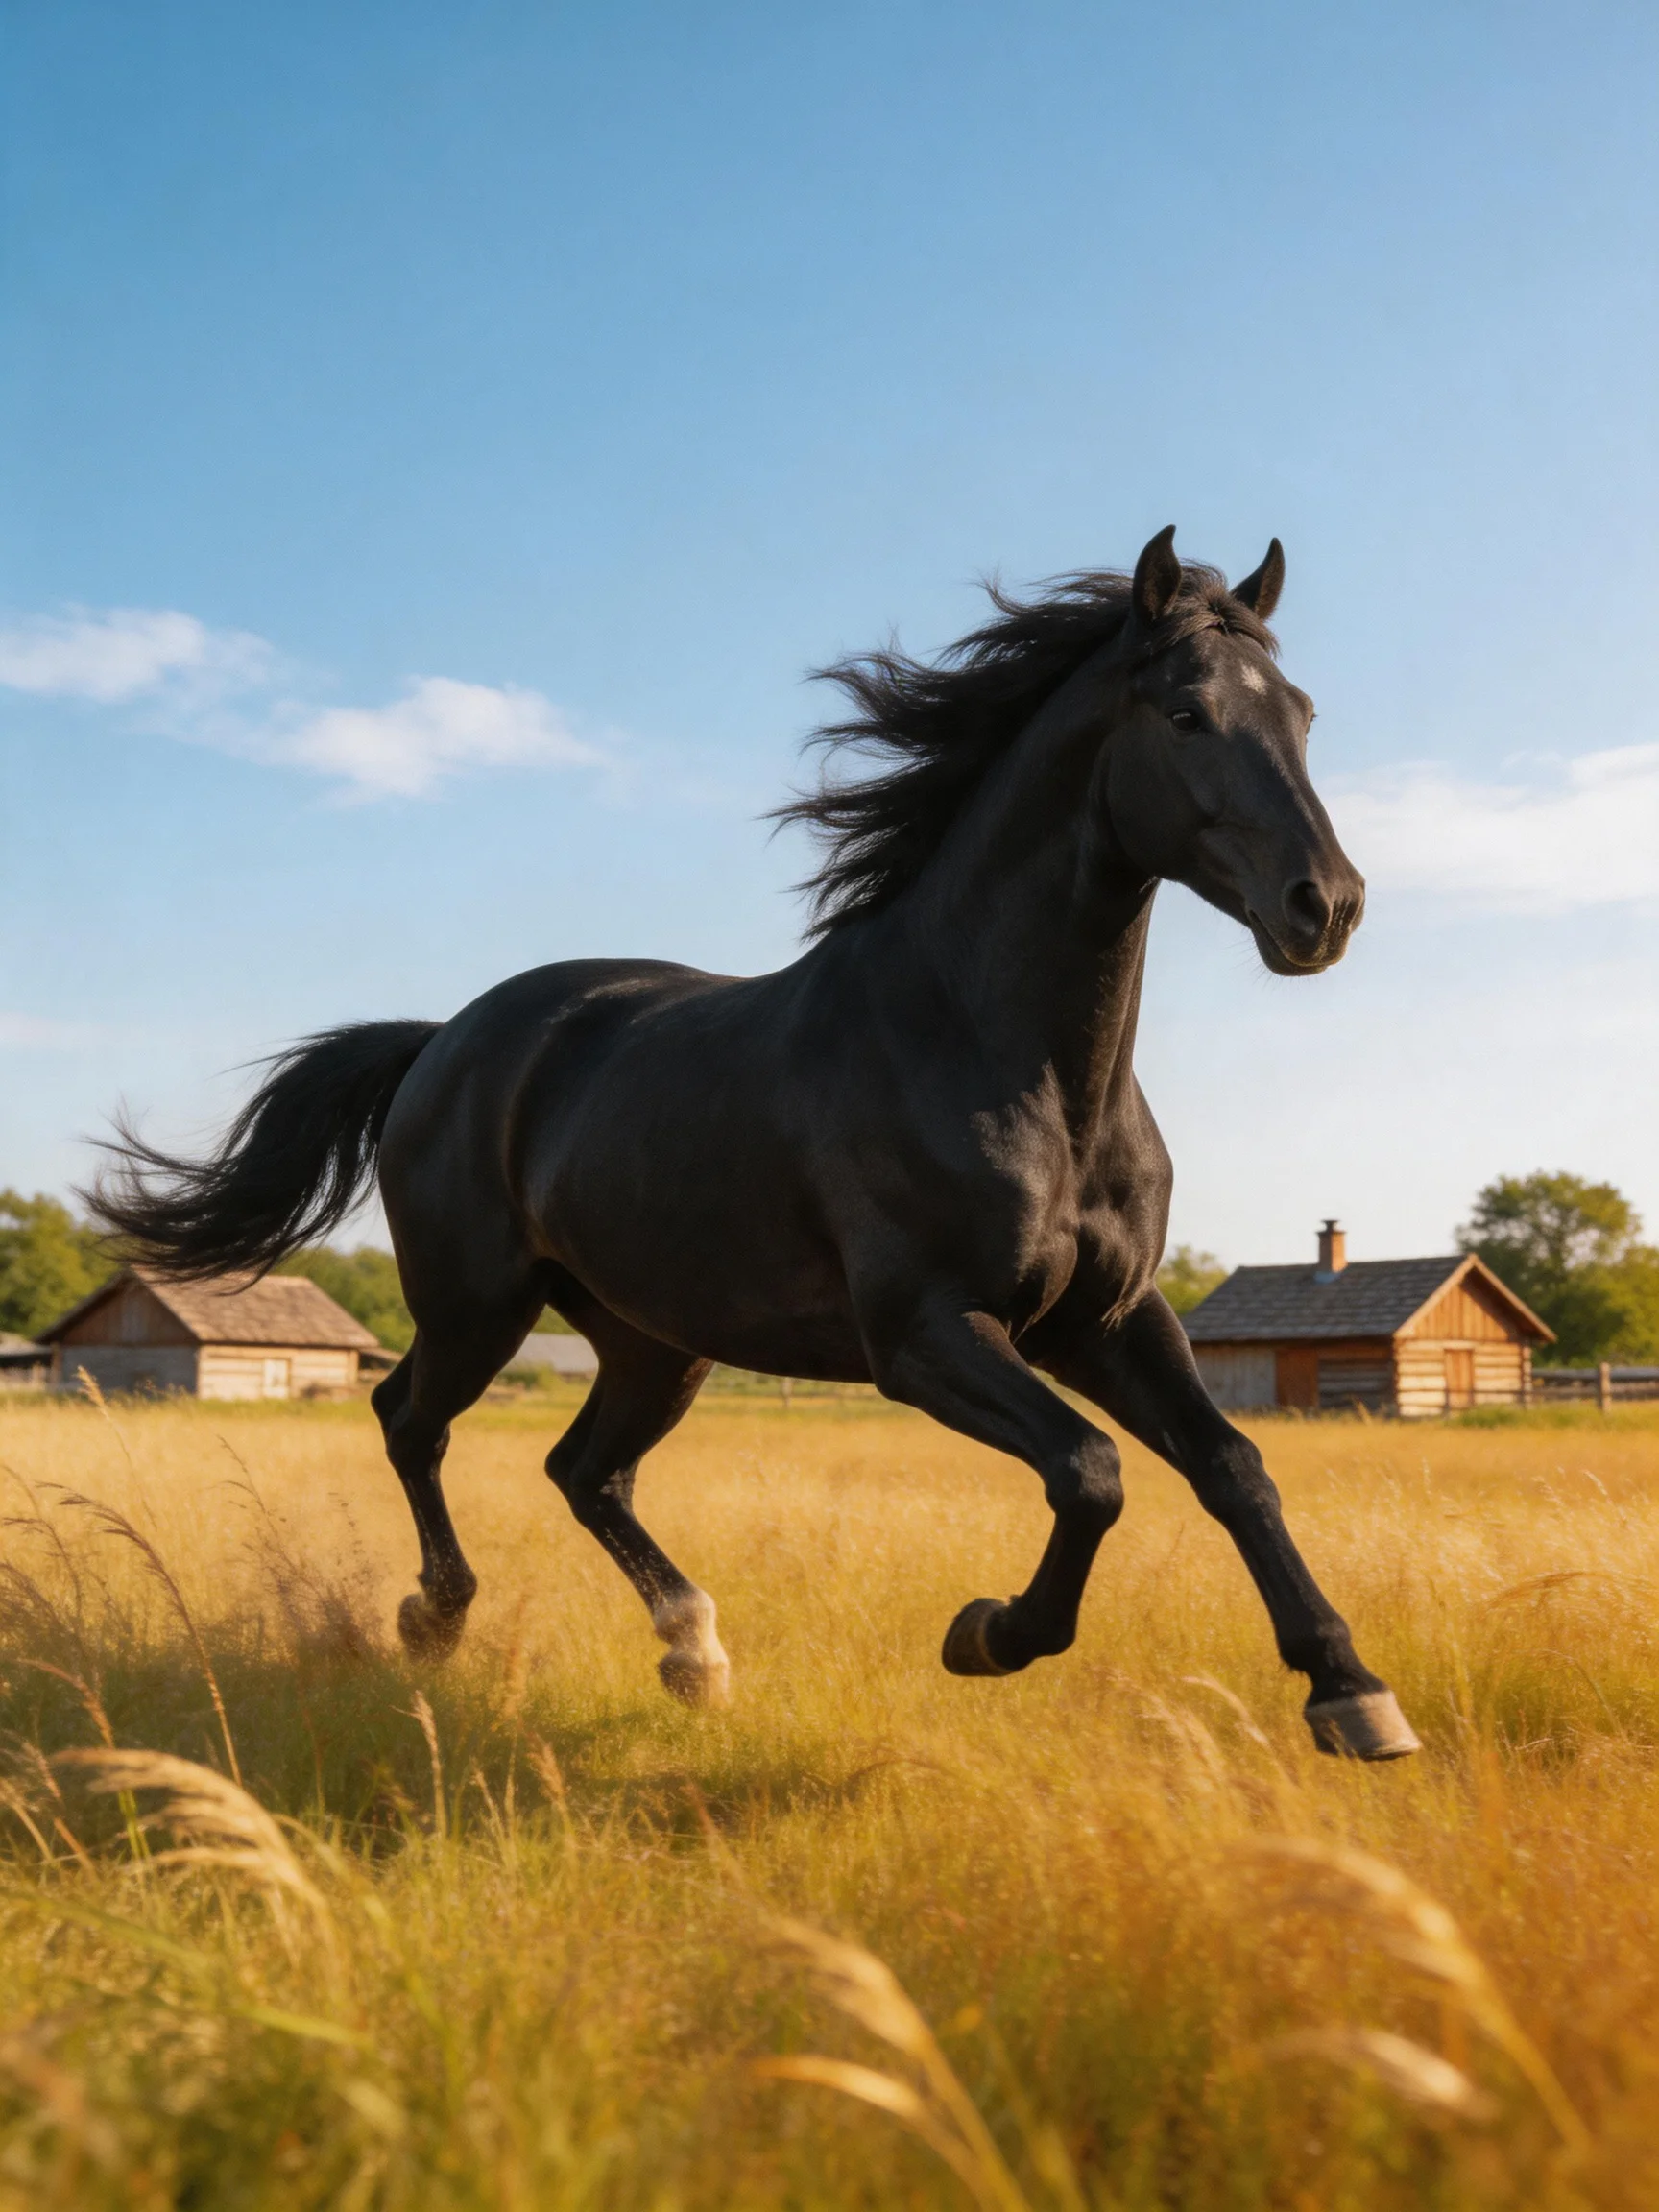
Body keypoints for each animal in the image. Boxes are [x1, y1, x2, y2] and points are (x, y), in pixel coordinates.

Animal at [94, 527, 1420, 1761]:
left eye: (1303, 713)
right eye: (1187, 713)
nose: (1327, 908)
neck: (1012, 1065)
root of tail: (440, 1043)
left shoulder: (1106, 1318)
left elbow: (1232, 1464)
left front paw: (1351, 1692)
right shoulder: (924, 1334)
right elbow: (1090, 1471)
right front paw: (987, 1634)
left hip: (653, 1340)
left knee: (584, 1470)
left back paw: (693, 1651)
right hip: (478, 1304)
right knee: (411, 1419)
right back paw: (437, 1616)